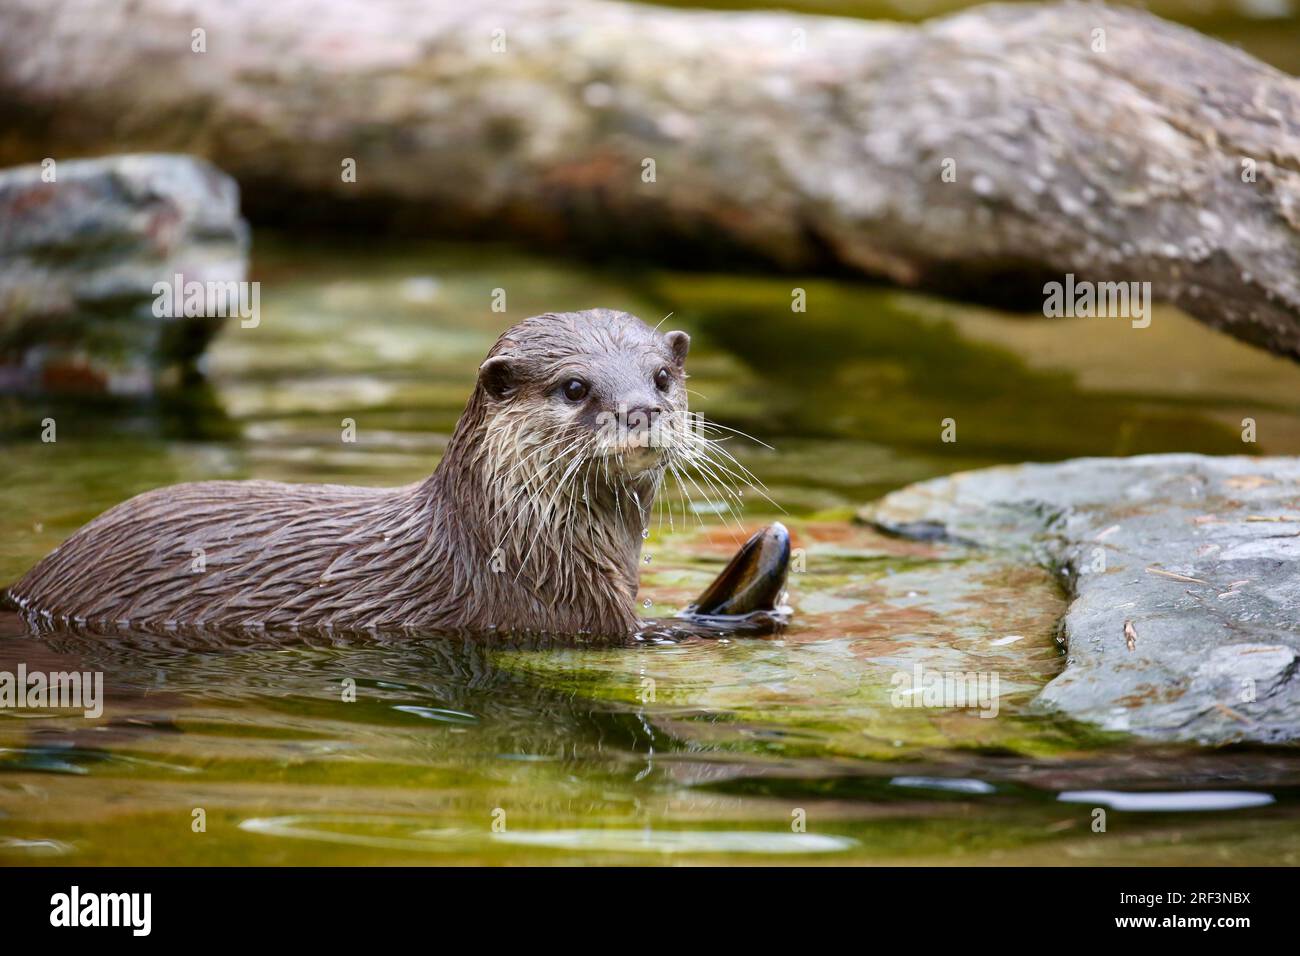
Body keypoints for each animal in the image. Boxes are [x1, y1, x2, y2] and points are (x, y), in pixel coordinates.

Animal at [7, 310, 790, 639]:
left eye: (661, 376)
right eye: (574, 387)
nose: (641, 411)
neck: (512, 547)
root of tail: (28, 586)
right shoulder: (558, 614)